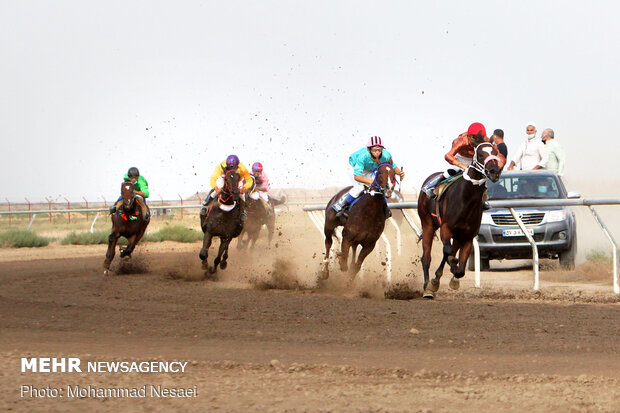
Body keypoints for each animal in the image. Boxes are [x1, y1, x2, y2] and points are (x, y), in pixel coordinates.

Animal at [416, 142, 504, 296]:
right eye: (480, 154)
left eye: (495, 152)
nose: (494, 171)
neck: (466, 200)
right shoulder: (445, 227)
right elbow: (447, 251)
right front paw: (450, 266)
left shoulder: (468, 236)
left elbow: (460, 269)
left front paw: (452, 277)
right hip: (427, 223)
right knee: (426, 257)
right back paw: (427, 287)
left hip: (458, 235)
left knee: (449, 252)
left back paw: (436, 280)